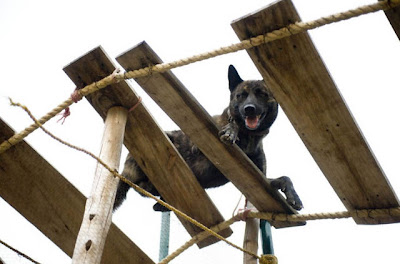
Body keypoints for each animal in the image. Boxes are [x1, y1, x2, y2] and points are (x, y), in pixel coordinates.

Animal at [112, 65, 304, 211]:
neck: (249, 139)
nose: (249, 109)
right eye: (241, 95)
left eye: (261, 93)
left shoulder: (261, 182)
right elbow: (232, 123)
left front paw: (294, 197)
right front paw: (231, 129)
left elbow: (285, 178)